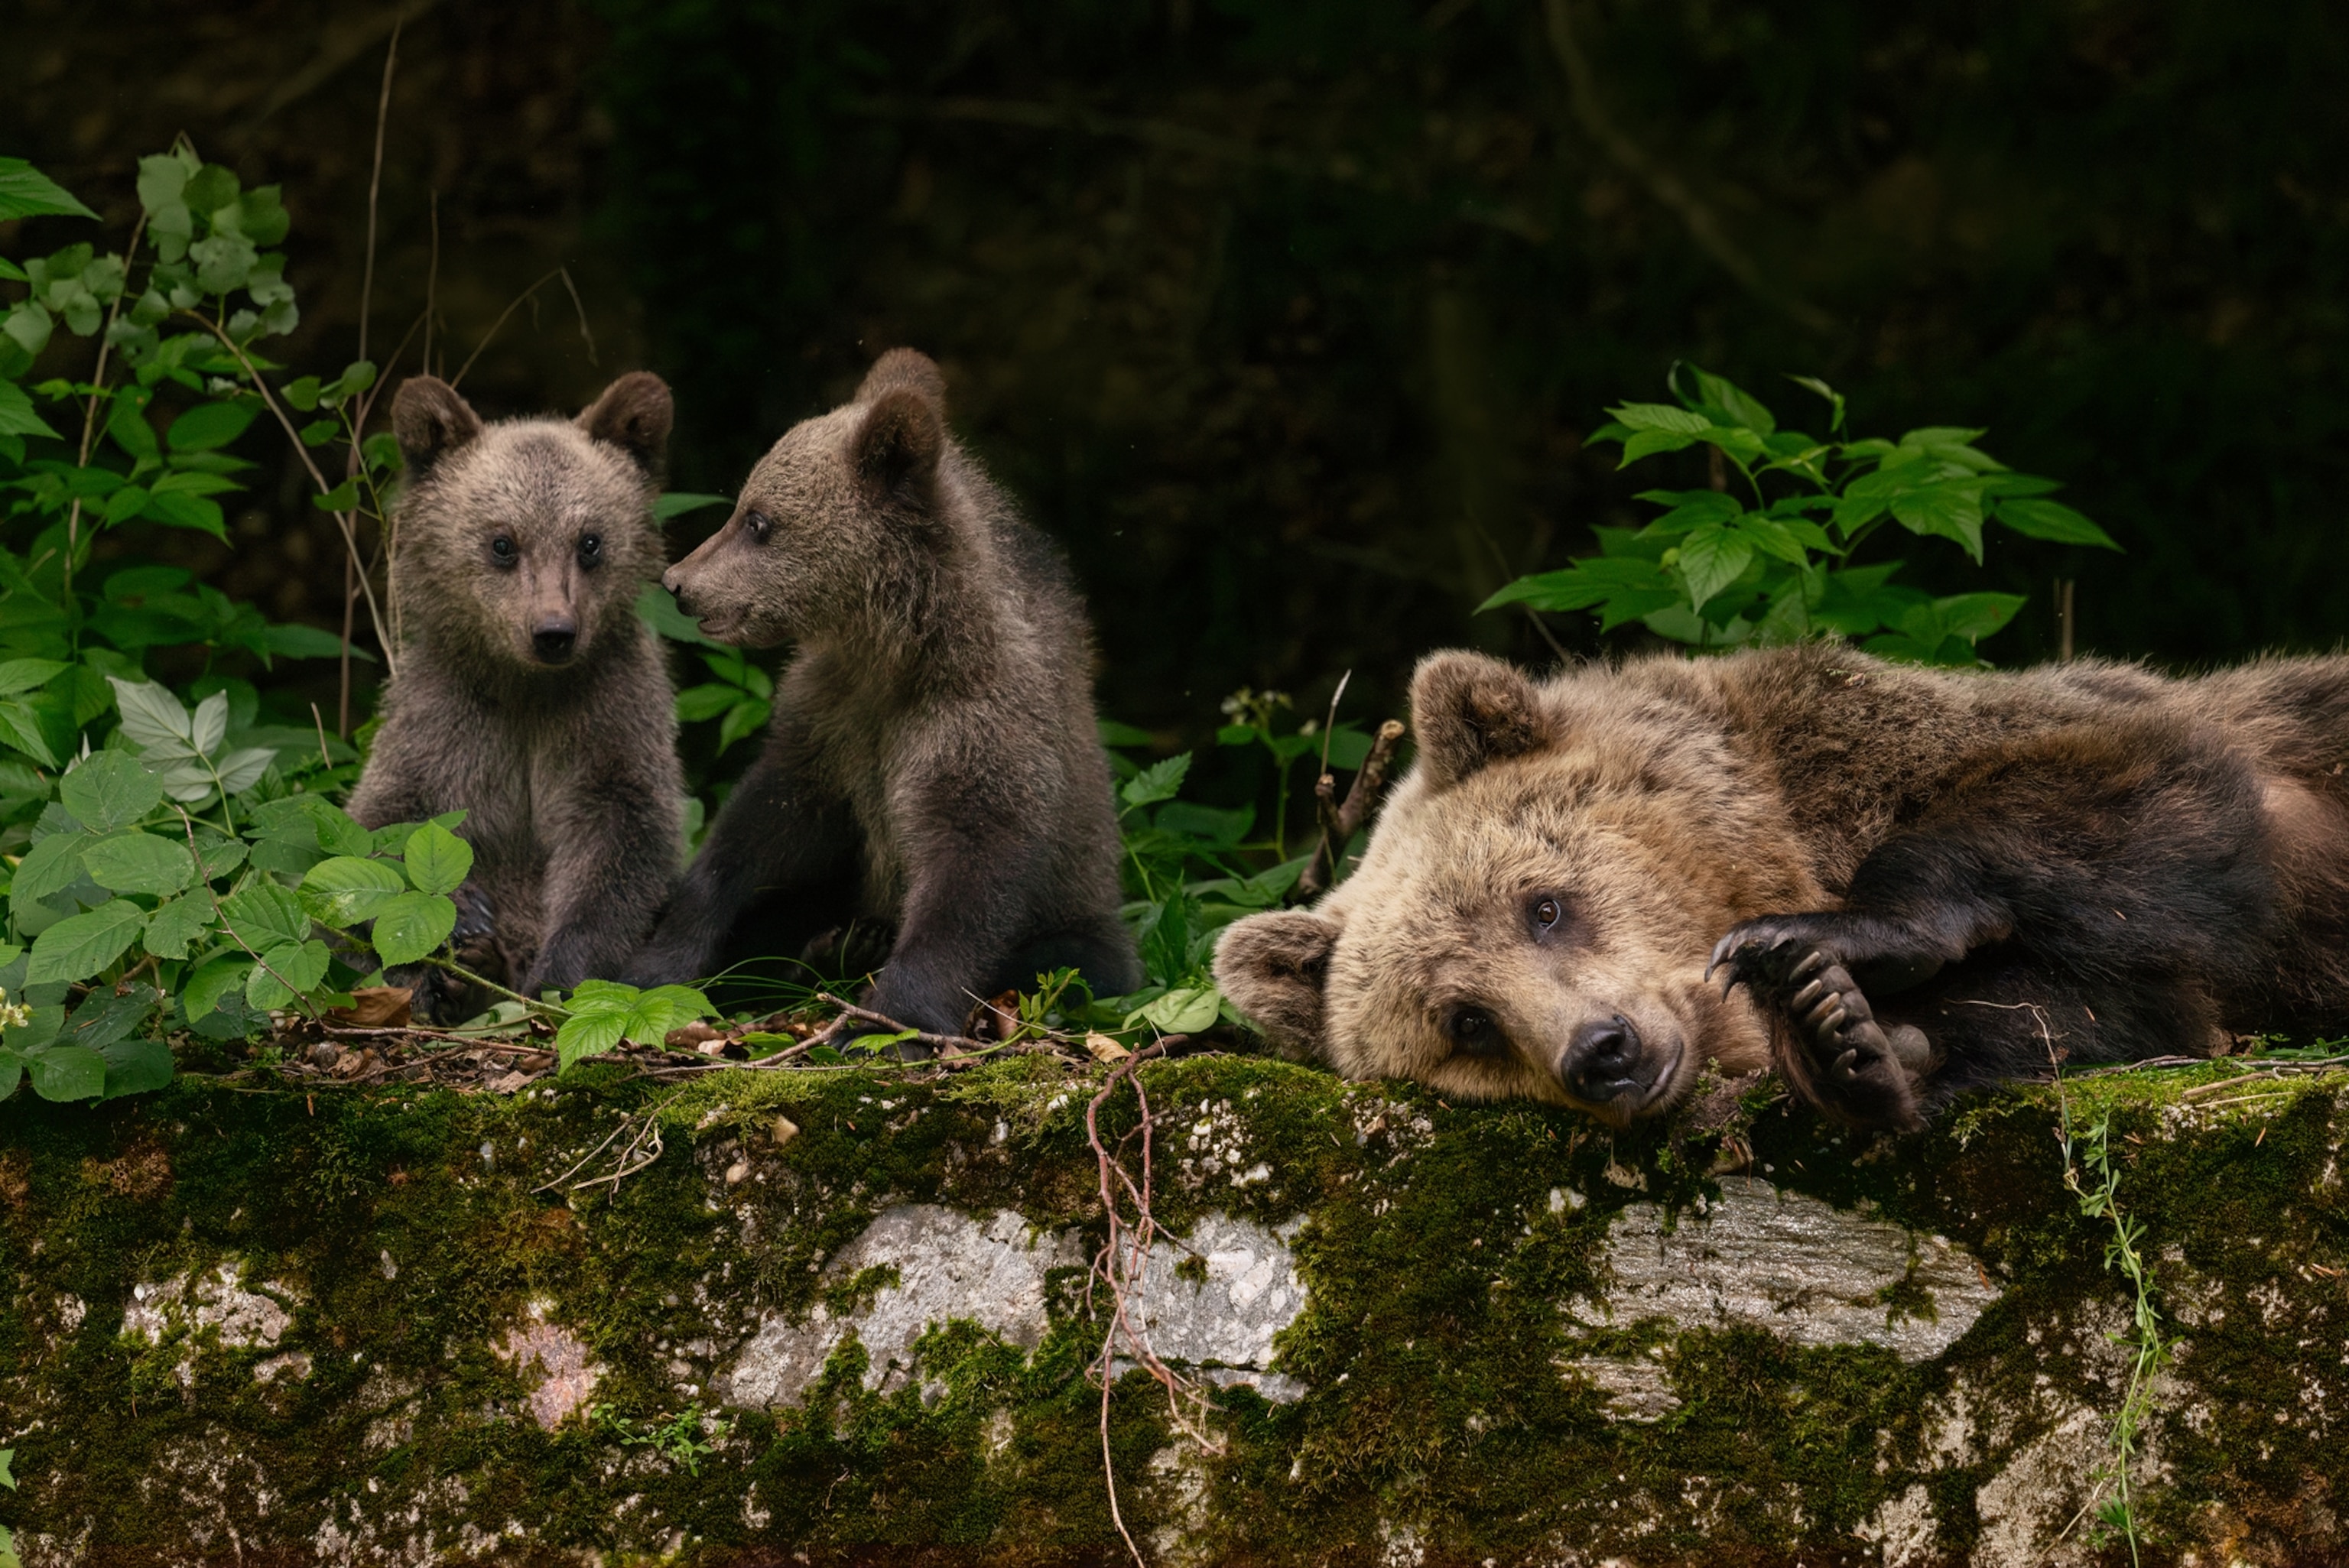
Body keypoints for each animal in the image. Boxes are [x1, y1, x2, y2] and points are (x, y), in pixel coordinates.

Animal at [1212, 643, 2349, 1131]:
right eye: (1465, 1023)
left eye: (1544, 903)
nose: (1604, 1050)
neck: (1786, 827)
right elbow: (2098, 1005)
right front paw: (1852, 1040)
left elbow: (2132, 787)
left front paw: (1834, 945)